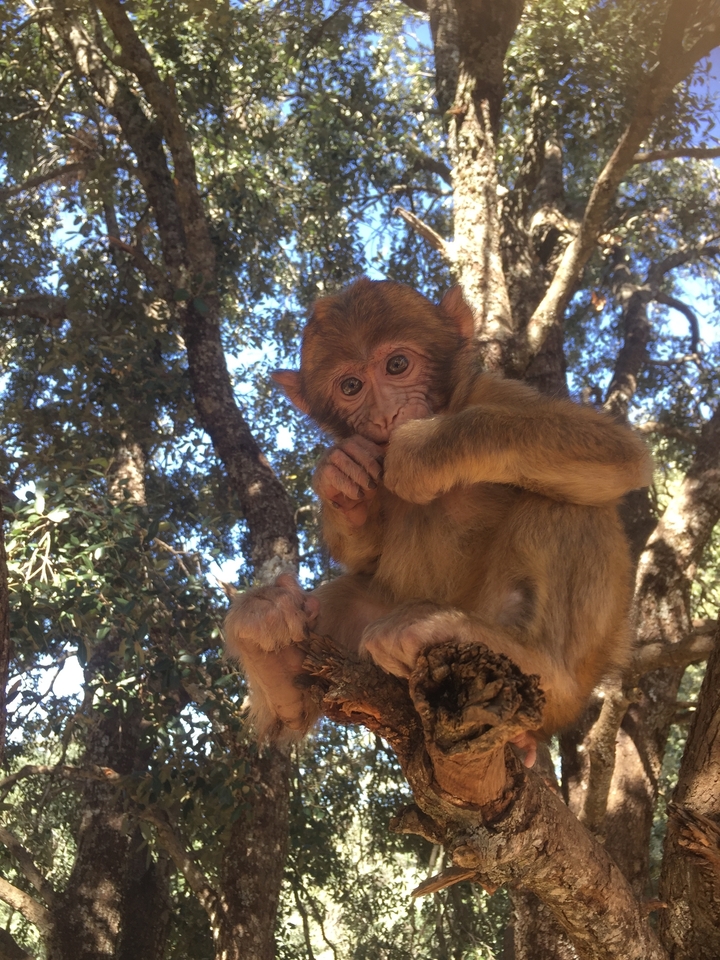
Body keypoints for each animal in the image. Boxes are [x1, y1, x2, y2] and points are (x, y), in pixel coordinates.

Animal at [224, 278, 652, 760]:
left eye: (397, 365)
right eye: (351, 386)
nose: (386, 416)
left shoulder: (494, 393)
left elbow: (619, 453)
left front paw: (422, 452)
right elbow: (364, 556)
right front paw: (338, 478)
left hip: (555, 672)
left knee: (569, 504)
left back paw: (538, 661)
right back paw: (276, 660)